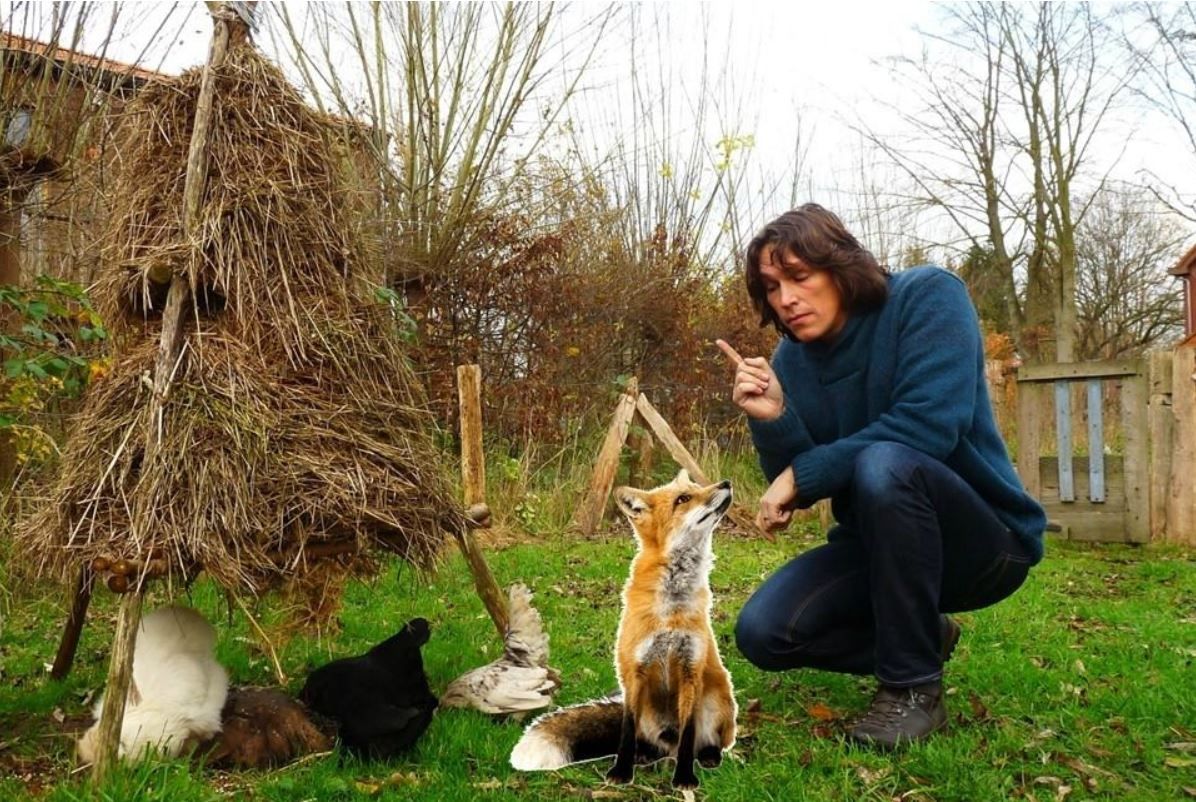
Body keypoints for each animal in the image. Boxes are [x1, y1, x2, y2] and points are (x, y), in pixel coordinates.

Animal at [507, 470, 731, 788]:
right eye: (684, 498)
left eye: (696, 487)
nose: (726, 483)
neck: (670, 611)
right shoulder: (634, 670)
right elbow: (626, 732)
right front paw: (621, 772)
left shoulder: (691, 670)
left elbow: (688, 735)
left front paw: (685, 777)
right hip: (648, 711)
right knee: (648, 740)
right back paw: (645, 755)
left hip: (716, 700)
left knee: (702, 741)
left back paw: (708, 755)